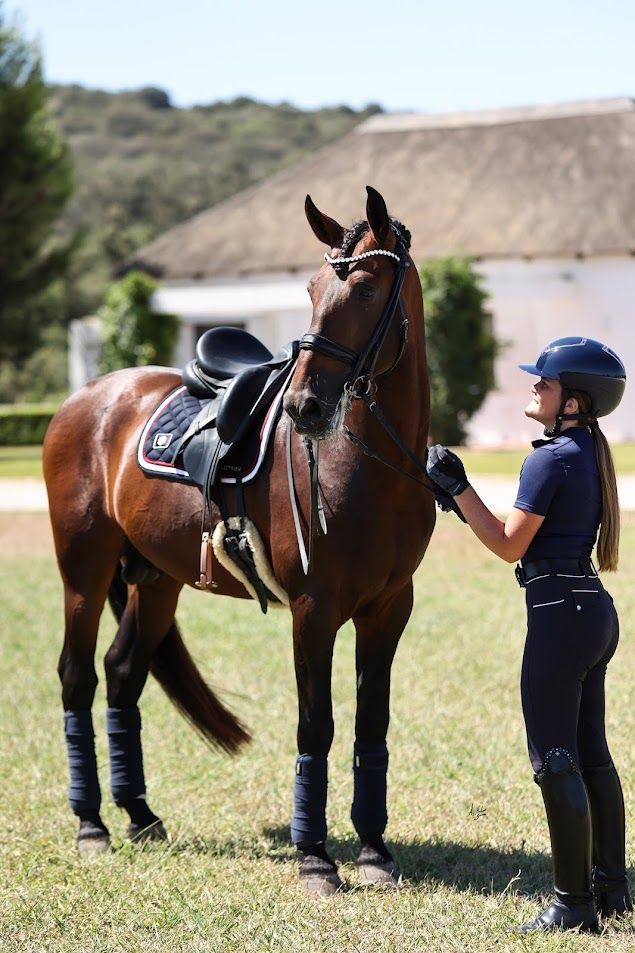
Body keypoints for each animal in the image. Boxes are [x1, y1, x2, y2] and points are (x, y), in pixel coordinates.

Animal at [43, 186, 436, 895]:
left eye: (366, 289)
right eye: (310, 289)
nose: (306, 405)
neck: (371, 467)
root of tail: (89, 397)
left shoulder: (389, 610)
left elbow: (372, 722)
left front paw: (373, 851)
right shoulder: (314, 610)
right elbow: (316, 724)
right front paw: (315, 857)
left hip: (157, 580)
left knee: (122, 673)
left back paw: (138, 813)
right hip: (83, 572)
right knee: (76, 677)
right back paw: (91, 823)